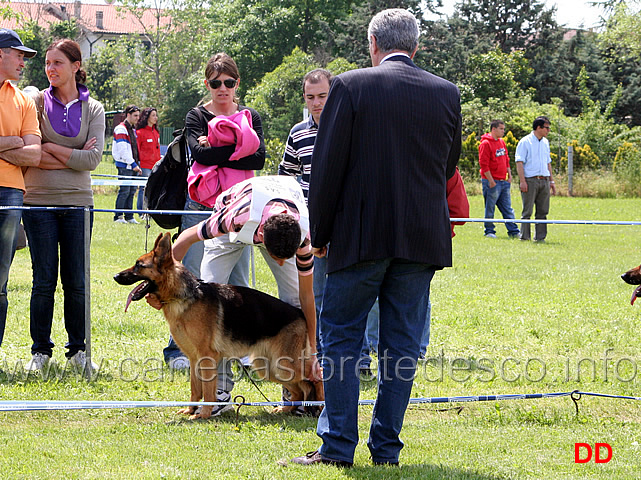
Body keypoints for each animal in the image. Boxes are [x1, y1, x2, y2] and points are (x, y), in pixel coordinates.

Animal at [113, 234, 322, 418]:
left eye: (139, 265)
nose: (115, 276)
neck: (183, 297)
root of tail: (301, 314)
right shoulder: (194, 359)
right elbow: (195, 389)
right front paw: (190, 410)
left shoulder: (207, 358)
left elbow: (208, 391)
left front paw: (203, 414)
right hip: (268, 367)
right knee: (299, 390)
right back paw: (286, 409)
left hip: (284, 364)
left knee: (314, 379)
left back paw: (318, 405)